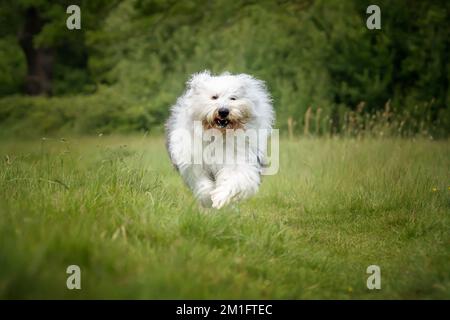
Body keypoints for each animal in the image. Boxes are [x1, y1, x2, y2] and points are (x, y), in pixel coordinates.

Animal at [164, 71, 272, 209]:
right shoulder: (194, 165)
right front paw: (208, 199)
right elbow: (202, 185)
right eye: (214, 97)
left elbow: (234, 179)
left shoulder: (239, 160)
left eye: (233, 98)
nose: (223, 111)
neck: (219, 135)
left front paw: (219, 198)